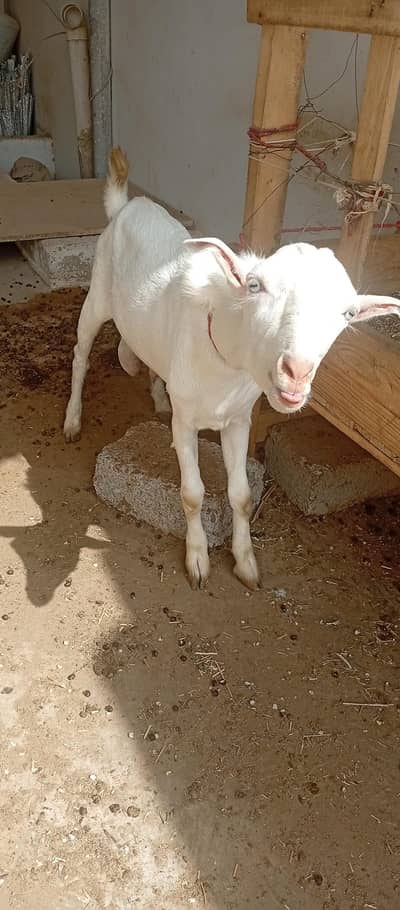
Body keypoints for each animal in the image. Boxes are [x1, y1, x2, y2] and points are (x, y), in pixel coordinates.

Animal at [64, 147, 400, 590]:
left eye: (348, 313)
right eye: (255, 286)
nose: (296, 371)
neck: (225, 367)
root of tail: (128, 205)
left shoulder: (239, 419)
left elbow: (241, 495)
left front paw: (245, 563)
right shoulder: (187, 422)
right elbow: (192, 492)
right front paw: (197, 561)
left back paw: (156, 394)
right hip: (98, 296)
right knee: (80, 355)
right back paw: (72, 419)